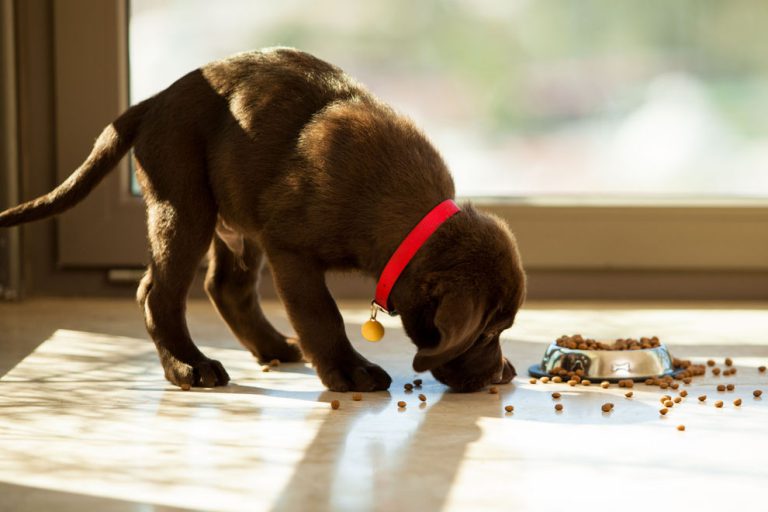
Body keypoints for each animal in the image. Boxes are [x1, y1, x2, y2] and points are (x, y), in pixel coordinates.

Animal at [0, 48, 524, 392]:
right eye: (486, 333)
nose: (499, 375)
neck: (406, 216)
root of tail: (153, 101)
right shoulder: (291, 249)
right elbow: (322, 314)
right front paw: (349, 370)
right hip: (184, 205)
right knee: (157, 293)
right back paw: (188, 367)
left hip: (235, 218)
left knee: (225, 286)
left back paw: (271, 346)